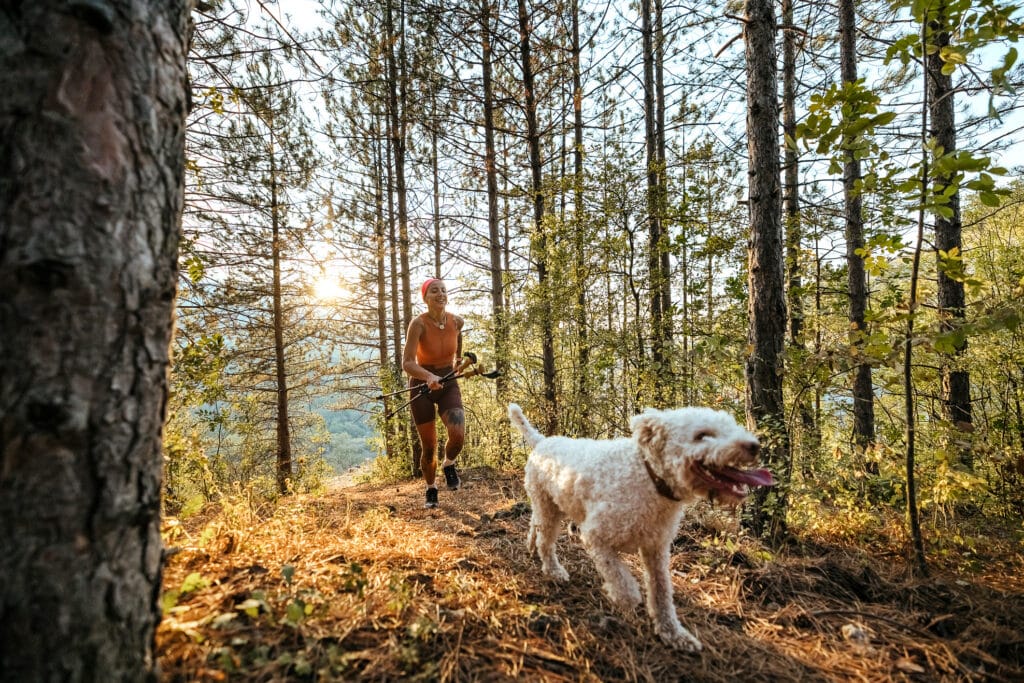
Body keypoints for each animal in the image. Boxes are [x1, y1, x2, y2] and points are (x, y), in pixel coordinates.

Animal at [507, 403, 770, 655]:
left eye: (733, 427)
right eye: (702, 435)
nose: (754, 446)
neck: (649, 477)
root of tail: (542, 440)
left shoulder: (656, 550)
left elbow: (661, 593)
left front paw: (674, 634)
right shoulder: (596, 537)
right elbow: (623, 582)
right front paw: (621, 597)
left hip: (549, 505)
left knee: (535, 525)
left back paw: (531, 546)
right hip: (549, 507)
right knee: (546, 541)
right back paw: (553, 569)